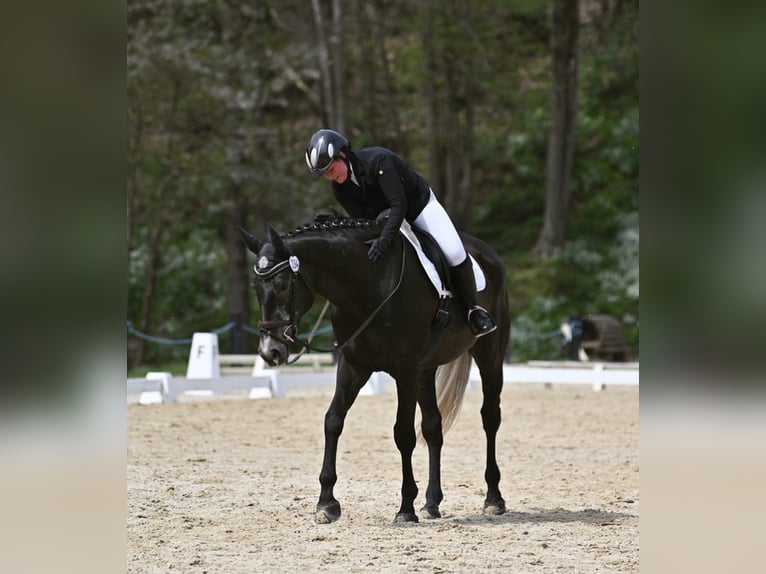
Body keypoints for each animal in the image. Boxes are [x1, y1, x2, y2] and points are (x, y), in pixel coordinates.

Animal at [243, 217, 512, 528]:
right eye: (255, 288)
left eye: (284, 285)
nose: (270, 352)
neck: (366, 287)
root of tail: (489, 253)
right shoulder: (354, 366)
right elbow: (333, 421)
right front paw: (326, 503)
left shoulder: (405, 370)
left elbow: (403, 433)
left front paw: (405, 508)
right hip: (425, 369)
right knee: (433, 427)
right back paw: (431, 503)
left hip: (489, 353)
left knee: (490, 418)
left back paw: (493, 499)